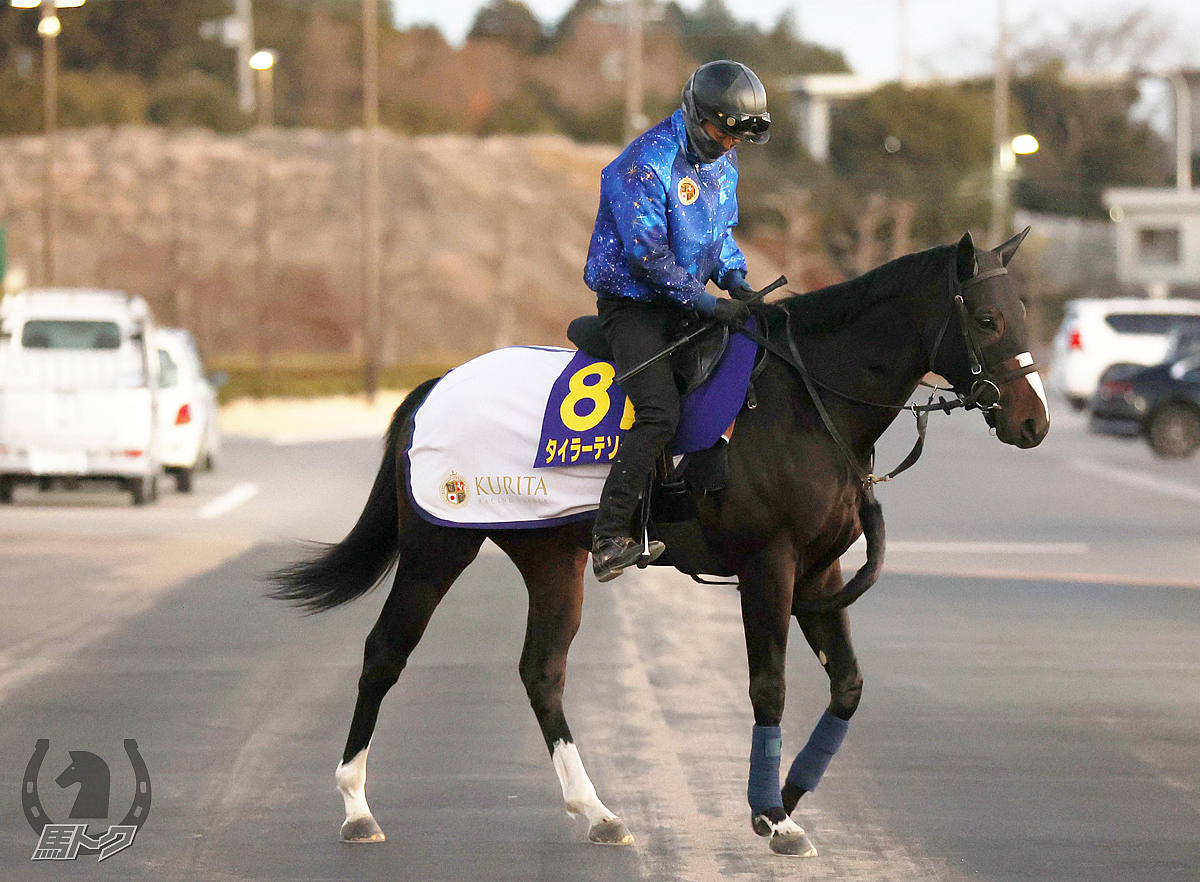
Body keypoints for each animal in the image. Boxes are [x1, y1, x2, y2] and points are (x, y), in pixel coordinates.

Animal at [270, 231, 1051, 859]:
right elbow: (770, 684)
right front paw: (772, 815)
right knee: (384, 653)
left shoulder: (821, 574)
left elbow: (849, 685)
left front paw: (784, 799)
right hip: (440, 547)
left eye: (1025, 313)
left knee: (541, 672)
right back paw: (357, 807)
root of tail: (433, 387)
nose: (1035, 421)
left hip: (553, 559)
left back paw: (597, 811)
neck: (803, 399)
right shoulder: (769, 567)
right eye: (986, 318)